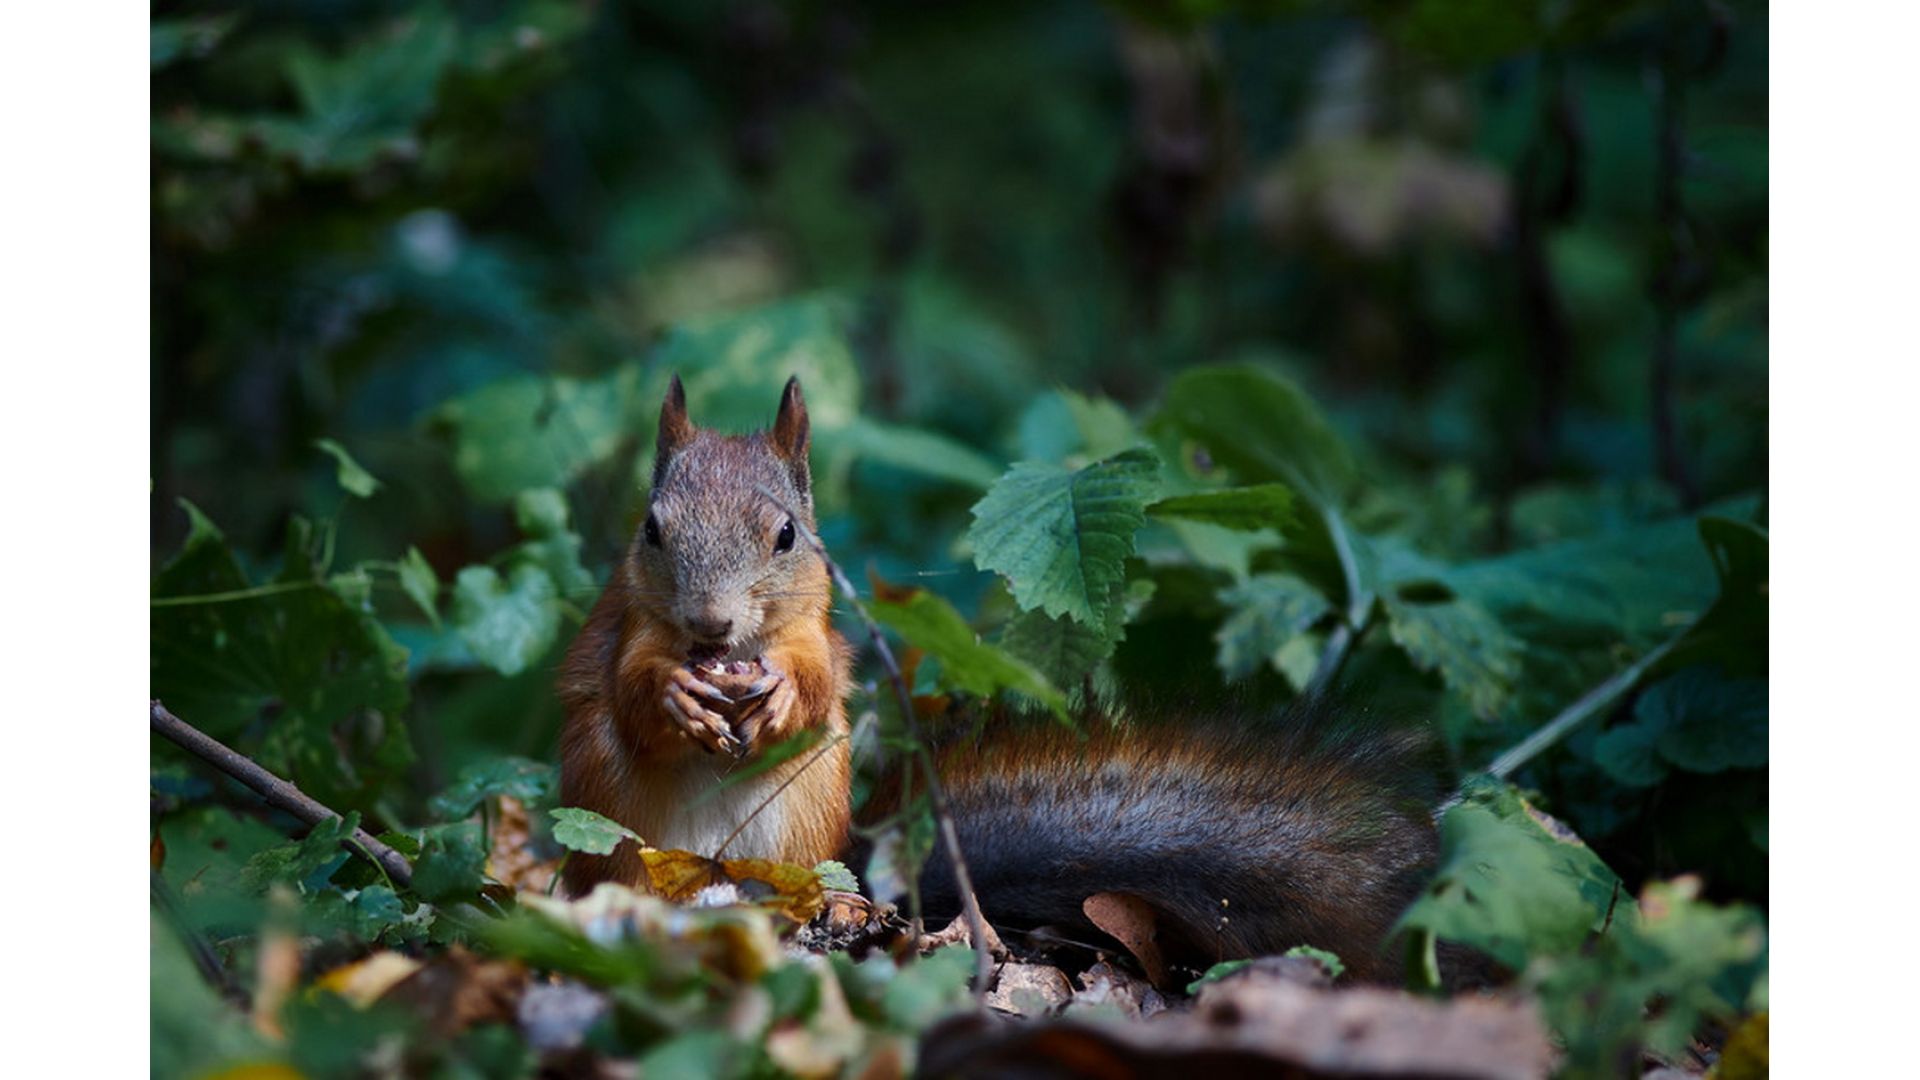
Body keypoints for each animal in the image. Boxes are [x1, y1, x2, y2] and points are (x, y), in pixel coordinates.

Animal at [556, 376, 1443, 976]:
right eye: (651, 530)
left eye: (786, 536)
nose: (710, 624)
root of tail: (725, 883)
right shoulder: (624, 632)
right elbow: (631, 692)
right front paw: (676, 696)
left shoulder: (820, 635)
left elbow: (814, 679)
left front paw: (775, 697)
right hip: (614, 823)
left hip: (809, 808)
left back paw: (834, 902)